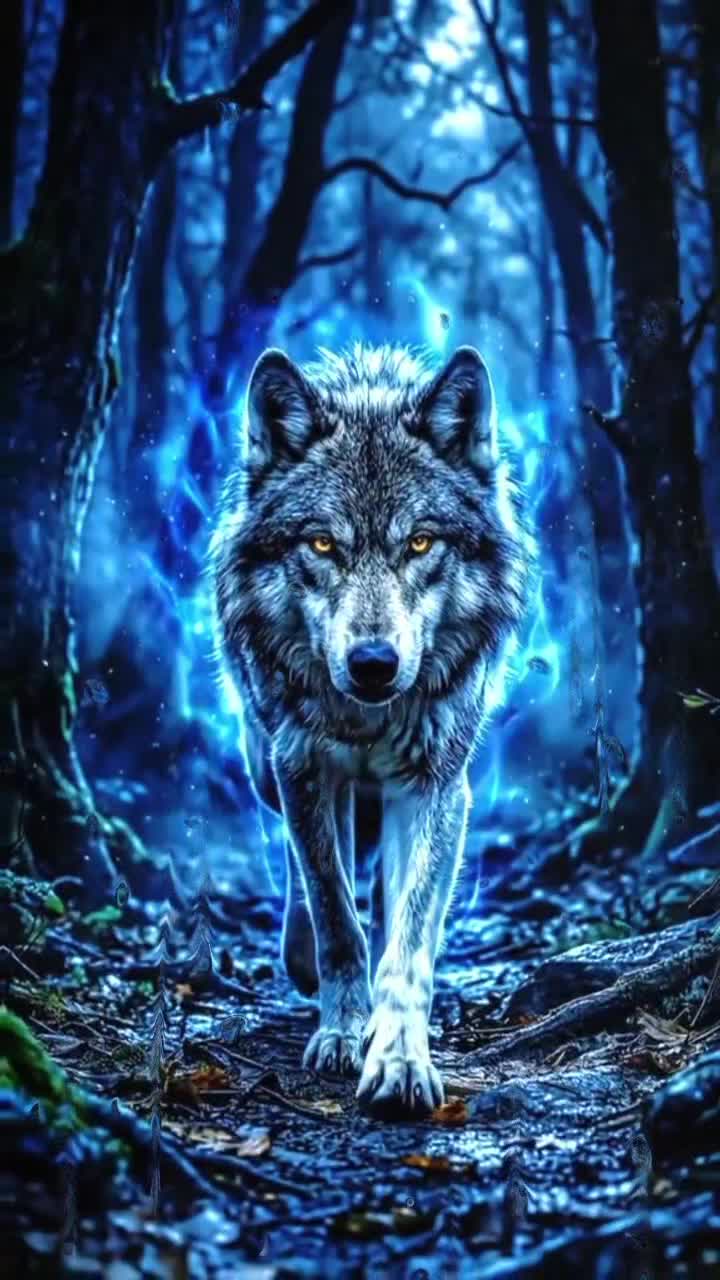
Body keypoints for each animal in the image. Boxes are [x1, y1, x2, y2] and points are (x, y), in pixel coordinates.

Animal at [211, 342, 533, 1118]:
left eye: (419, 542)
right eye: (324, 544)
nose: (374, 664)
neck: (366, 719)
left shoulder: (438, 786)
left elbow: (410, 940)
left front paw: (398, 1056)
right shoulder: (300, 765)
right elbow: (334, 911)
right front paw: (341, 1029)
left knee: (387, 894)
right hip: (262, 763)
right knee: (302, 865)